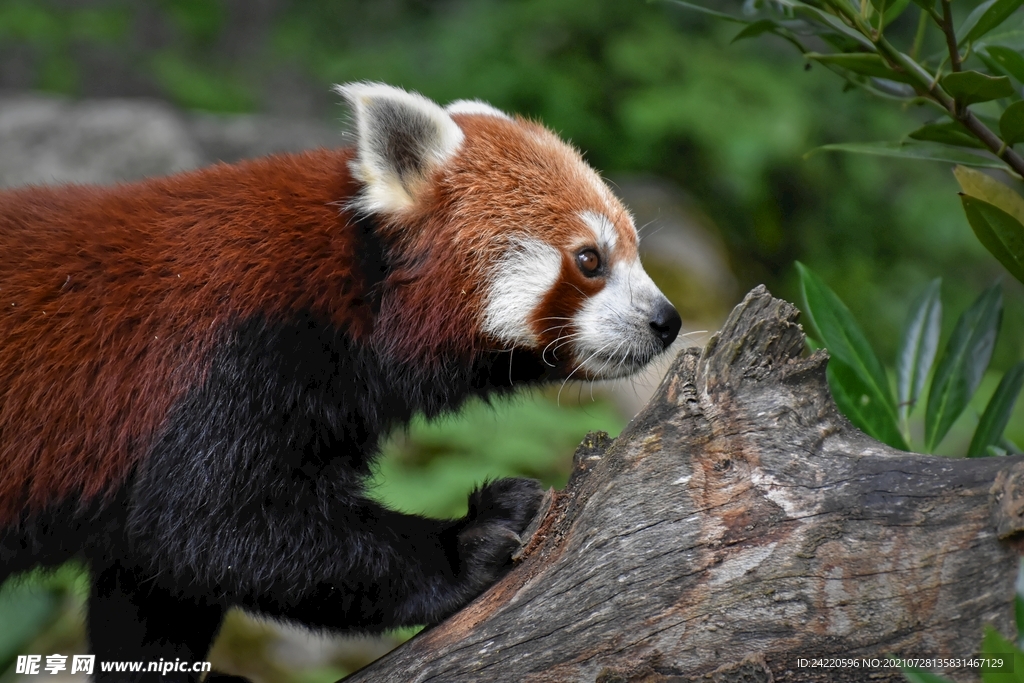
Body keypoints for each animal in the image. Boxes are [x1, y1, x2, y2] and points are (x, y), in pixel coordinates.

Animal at [0, 82, 679, 679]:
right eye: (590, 260)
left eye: (635, 251)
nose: (667, 321)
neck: (356, 284)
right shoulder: (238, 355)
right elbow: (206, 525)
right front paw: (470, 542)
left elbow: (153, 579)